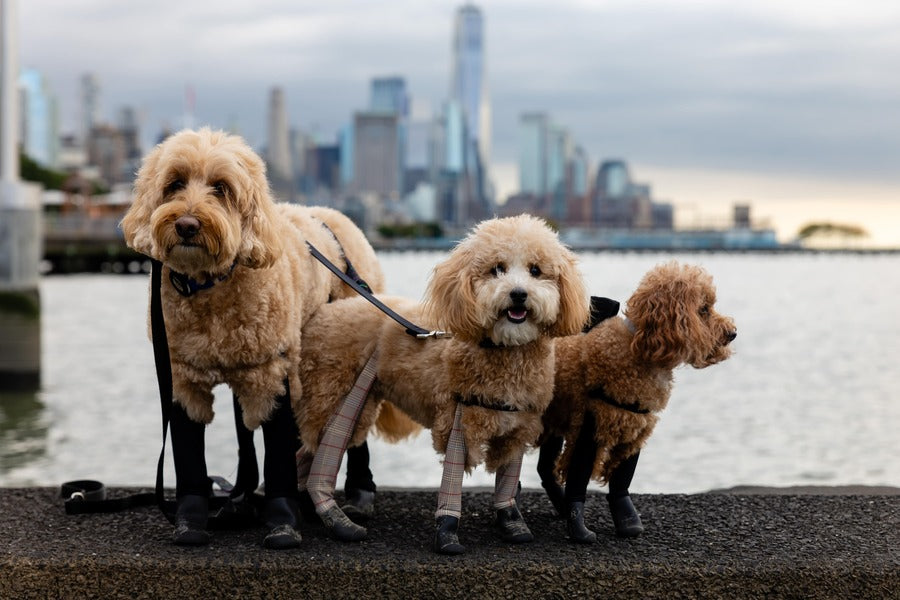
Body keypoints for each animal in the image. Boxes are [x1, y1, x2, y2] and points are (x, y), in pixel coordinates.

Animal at [536, 260, 736, 540]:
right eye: (704, 309)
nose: (733, 333)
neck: (638, 349)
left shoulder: (636, 424)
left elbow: (622, 477)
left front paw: (628, 522)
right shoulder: (592, 423)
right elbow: (579, 476)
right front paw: (579, 529)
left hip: (554, 418)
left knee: (545, 468)